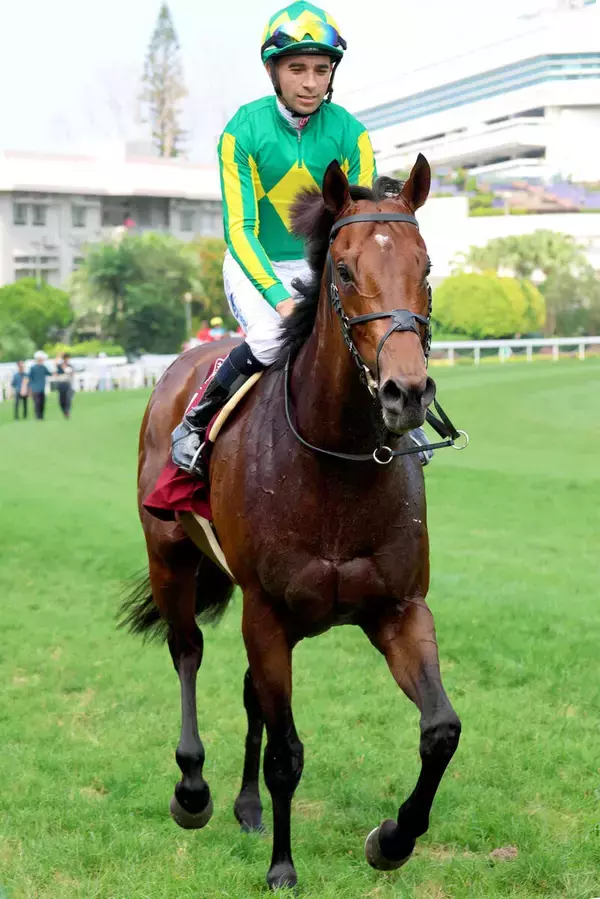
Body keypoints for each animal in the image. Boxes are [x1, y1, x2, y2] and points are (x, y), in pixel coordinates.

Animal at [123, 153, 461, 891]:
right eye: (344, 271)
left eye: (425, 267)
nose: (406, 392)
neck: (336, 467)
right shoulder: (268, 612)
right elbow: (287, 752)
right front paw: (282, 866)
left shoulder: (397, 606)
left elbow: (440, 729)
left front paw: (393, 838)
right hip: (171, 556)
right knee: (187, 650)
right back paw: (194, 790)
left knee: (252, 691)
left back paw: (247, 807)